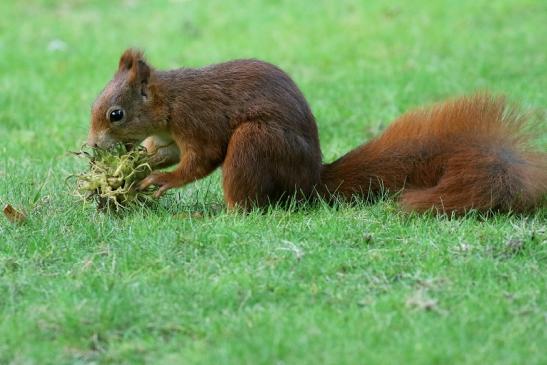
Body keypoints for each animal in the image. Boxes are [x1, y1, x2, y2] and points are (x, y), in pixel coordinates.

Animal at [86, 48, 547, 213]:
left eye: (115, 114)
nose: (92, 146)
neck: (169, 103)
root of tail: (310, 182)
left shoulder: (200, 123)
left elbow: (199, 161)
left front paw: (159, 181)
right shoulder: (169, 136)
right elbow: (165, 152)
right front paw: (137, 166)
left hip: (258, 142)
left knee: (245, 202)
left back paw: (214, 213)